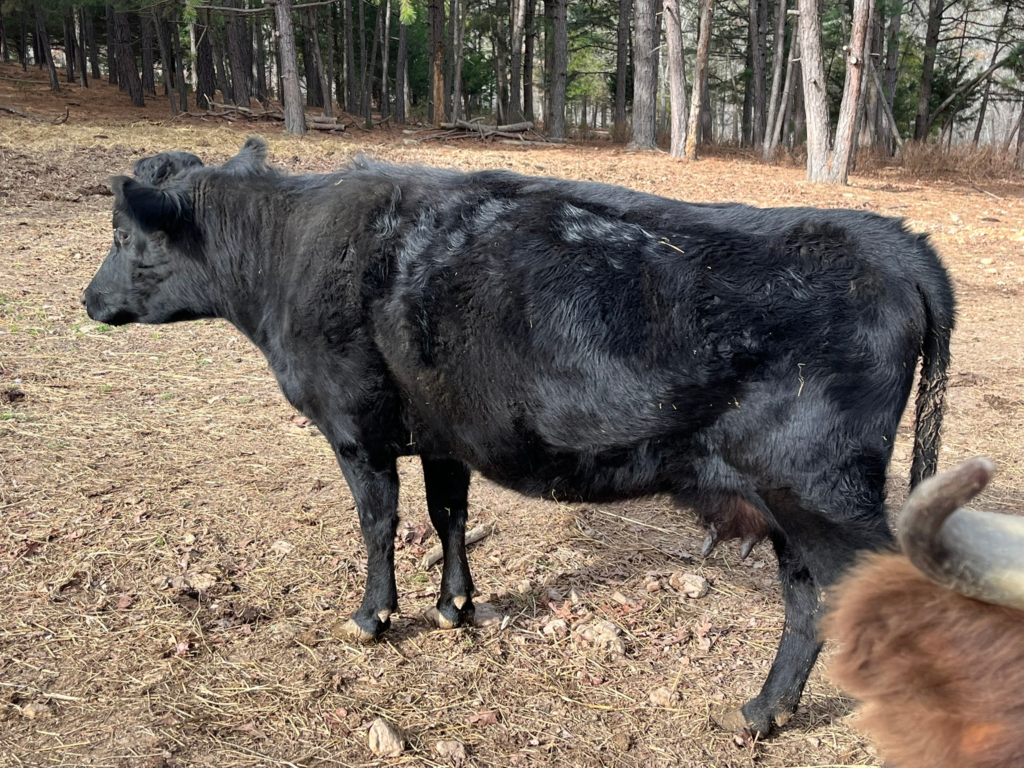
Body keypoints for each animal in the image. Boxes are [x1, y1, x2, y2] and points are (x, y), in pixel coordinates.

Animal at [83, 137, 955, 737]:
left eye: (126, 237)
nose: (89, 299)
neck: (288, 252)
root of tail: (893, 240)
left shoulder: (355, 429)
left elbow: (378, 523)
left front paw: (373, 618)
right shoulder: (439, 432)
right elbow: (448, 514)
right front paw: (454, 606)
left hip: (820, 491)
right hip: (791, 505)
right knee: (808, 599)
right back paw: (762, 713)